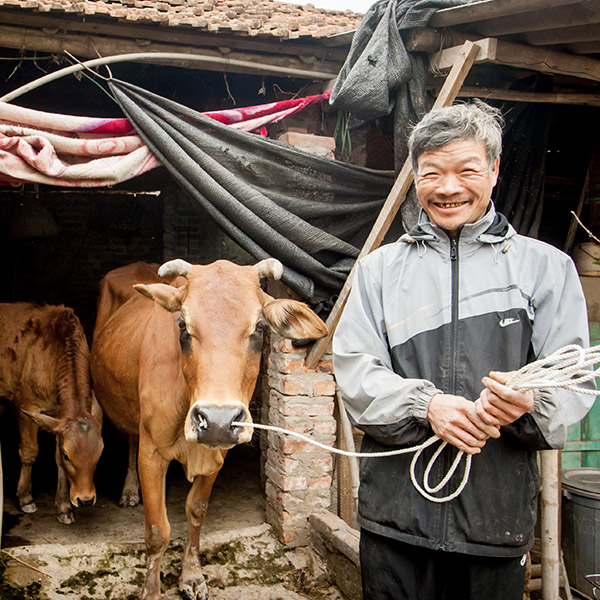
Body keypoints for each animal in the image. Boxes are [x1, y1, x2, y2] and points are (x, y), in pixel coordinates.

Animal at [0, 302, 104, 524]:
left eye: (100, 452)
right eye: (68, 456)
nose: (85, 500)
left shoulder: (59, 417)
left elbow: (56, 460)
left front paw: (64, 507)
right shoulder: (26, 405)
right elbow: (30, 452)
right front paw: (25, 498)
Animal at [92, 260, 328, 600]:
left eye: (260, 327)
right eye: (182, 325)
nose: (216, 419)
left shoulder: (218, 454)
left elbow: (196, 510)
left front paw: (191, 576)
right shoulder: (152, 455)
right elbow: (157, 531)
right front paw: (151, 591)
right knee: (131, 437)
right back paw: (129, 490)